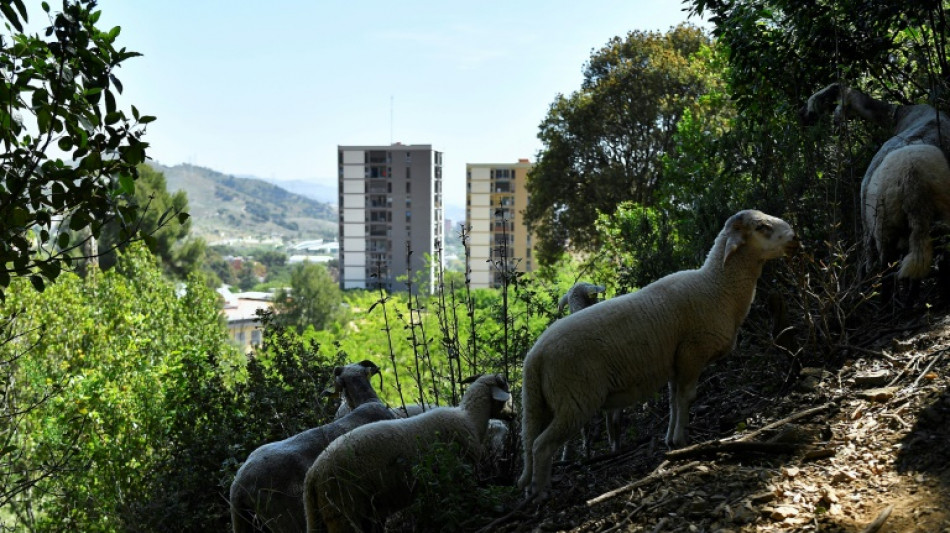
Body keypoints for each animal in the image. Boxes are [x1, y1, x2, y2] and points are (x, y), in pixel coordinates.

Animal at [304, 374, 512, 532]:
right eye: (506, 390)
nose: (514, 414)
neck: (470, 419)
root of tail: (313, 474)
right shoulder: (458, 475)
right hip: (343, 510)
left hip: (324, 516)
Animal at [516, 209, 800, 498]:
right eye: (762, 227)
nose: (794, 239)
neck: (717, 287)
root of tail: (534, 357)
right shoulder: (692, 351)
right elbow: (687, 397)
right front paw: (682, 440)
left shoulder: (677, 361)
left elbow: (674, 400)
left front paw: (670, 439)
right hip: (576, 398)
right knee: (541, 445)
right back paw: (541, 493)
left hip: (541, 402)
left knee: (531, 442)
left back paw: (533, 490)